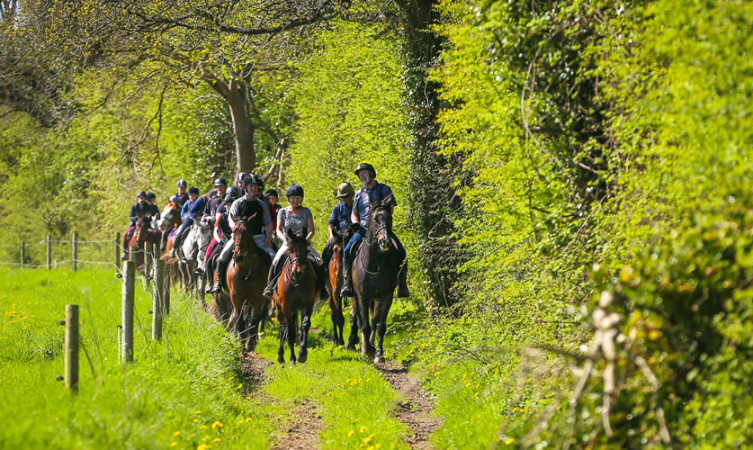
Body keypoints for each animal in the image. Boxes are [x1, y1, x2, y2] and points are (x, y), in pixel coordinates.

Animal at [225, 218, 272, 352]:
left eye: (248, 233)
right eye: (234, 232)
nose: (238, 256)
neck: (246, 273)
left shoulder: (258, 299)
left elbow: (254, 321)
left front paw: (250, 344)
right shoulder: (236, 297)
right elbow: (239, 319)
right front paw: (241, 343)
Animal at [274, 227, 318, 368]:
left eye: (306, 250)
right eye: (290, 250)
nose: (297, 272)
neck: (297, 283)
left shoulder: (308, 304)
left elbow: (305, 325)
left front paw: (302, 354)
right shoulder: (286, 308)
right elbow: (291, 333)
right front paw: (292, 359)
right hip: (280, 309)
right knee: (283, 328)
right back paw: (281, 357)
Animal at [348, 195, 402, 364]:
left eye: (389, 218)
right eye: (375, 218)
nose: (385, 241)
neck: (375, 265)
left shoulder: (386, 296)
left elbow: (379, 325)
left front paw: (379, 354)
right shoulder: (362, 296)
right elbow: (364, 324)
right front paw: (365, 350)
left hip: (375, 299)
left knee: (373, 321)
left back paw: (371, 346)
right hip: (355, 297)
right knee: (359, 320)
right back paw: (364, 346)